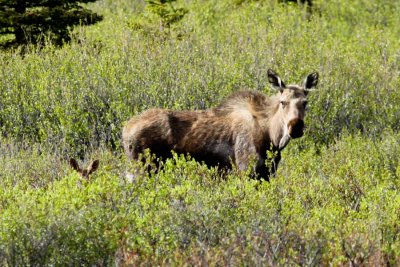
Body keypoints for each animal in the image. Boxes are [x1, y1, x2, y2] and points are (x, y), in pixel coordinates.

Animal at [122, 70, 318, 181]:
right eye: (283, 102)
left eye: (305, 102)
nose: (295, 127)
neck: (273, 139)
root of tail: (124, 130)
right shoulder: (246, 169)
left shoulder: (268, 173)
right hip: (143, 168)